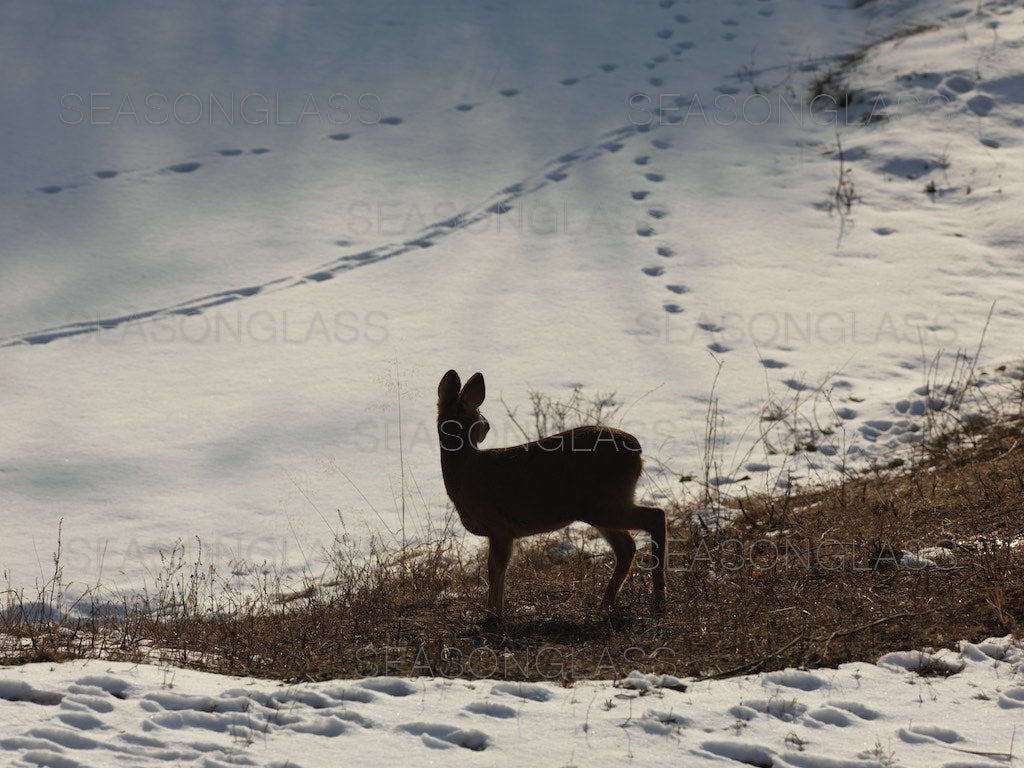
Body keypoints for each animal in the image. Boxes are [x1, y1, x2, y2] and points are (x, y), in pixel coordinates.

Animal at [436, 370, 667, 618]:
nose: (487, 426)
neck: (463, 471)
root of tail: (637, 450)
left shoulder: (500, 526)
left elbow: (497, 568)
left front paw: (493, 613)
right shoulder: (498, 531)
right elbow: (495, 568)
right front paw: (493, 611)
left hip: (604, 502)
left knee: (655, 516)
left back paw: (658, 601)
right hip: (603, 504)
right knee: (628, 546)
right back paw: (607, 602)